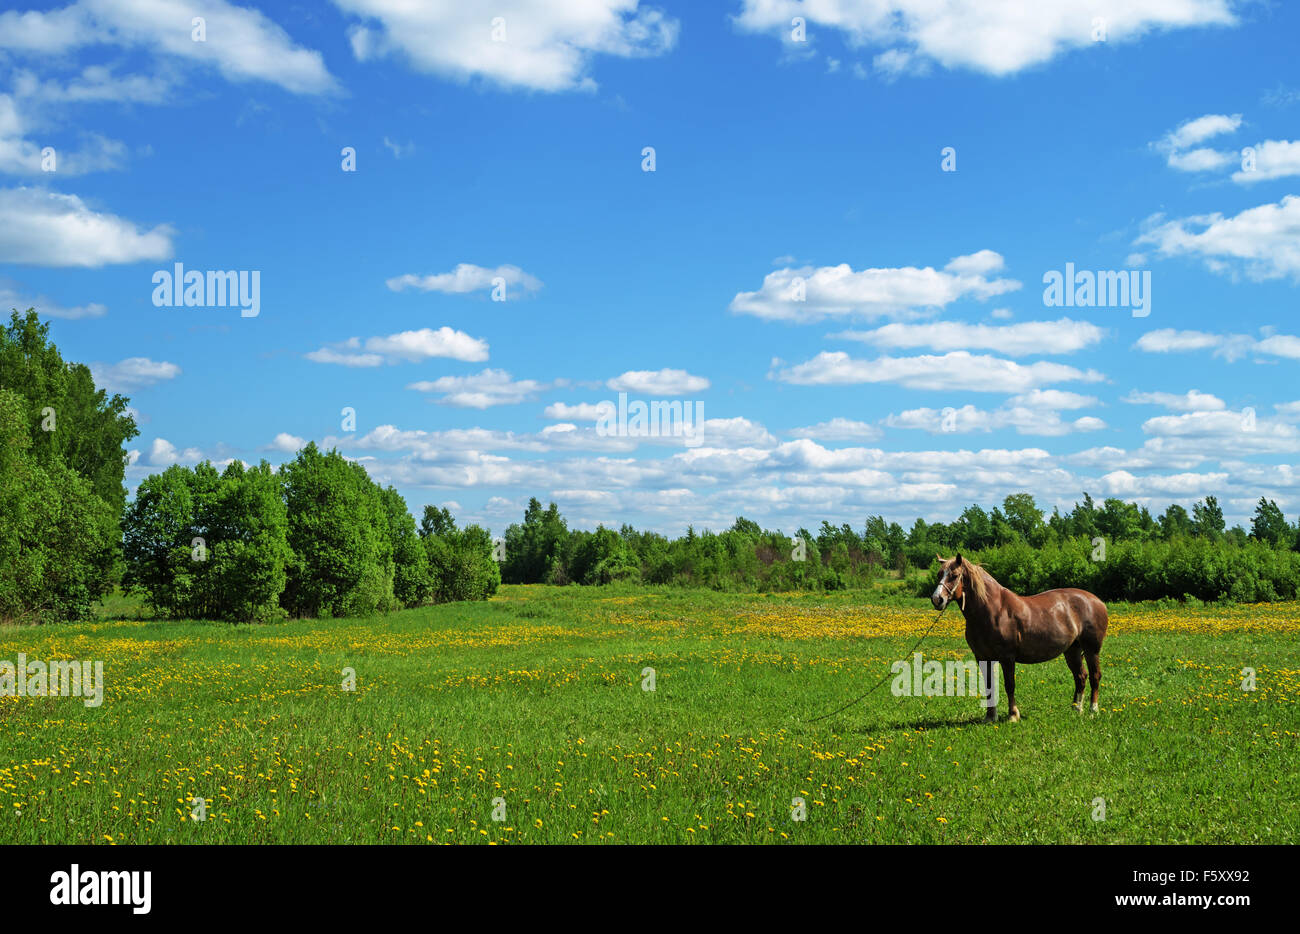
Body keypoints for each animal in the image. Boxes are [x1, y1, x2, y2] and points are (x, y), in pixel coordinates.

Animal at [930, 556, 1112, 723]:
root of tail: (1097, 601)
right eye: (939, 574)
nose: (937, 599)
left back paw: (1093, 709)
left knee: (1095, 676)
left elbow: (1010, 685)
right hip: (1072, 650)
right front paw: (990, 717)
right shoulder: (983, 658)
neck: (994, 610)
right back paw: (1076, 709)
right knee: (1081, 676)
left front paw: (1013, 715)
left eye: (954, 575)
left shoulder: (1007, 657)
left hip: (1091, 650)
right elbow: (989, 686)